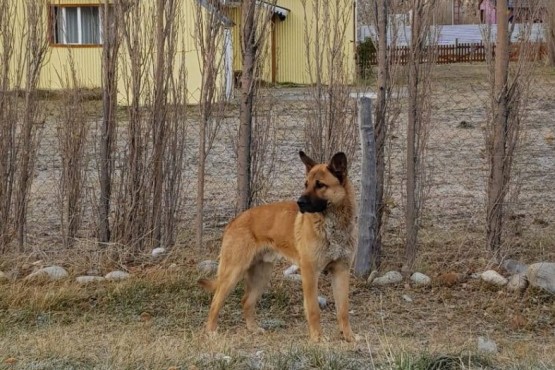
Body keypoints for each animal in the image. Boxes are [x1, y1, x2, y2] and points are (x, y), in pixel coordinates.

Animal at [198, 150, 358, 342]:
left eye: (320, 185)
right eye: (306, 184)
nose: (299, 202)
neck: (333, 225)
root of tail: (234, 221)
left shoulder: (341, 271)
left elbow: (343, 310)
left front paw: (348, 336)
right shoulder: (310, 272)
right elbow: (313, 309)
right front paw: (317, 338)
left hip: (261, 275)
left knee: (246, 301)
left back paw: (253, 328)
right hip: (233, 272)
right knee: (216, 301)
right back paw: (211, 331)